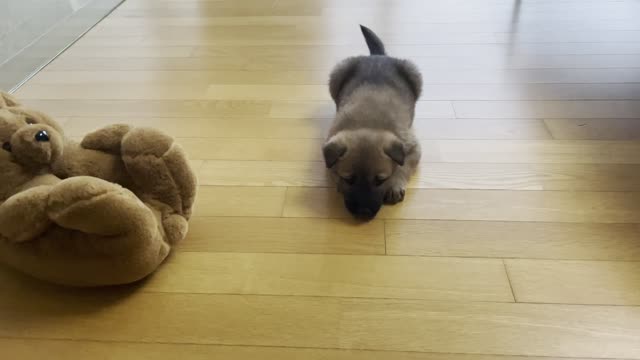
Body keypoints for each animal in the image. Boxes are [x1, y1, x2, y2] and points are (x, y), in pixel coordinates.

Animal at [322, 25, 422, 219]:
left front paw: (395, 185)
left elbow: (404, 166)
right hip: (336, 75)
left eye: (380, 180)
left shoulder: (413, 148)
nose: (364, 213)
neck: (367, 123)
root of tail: (378, 55)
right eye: (348, 179)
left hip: (415, 74)